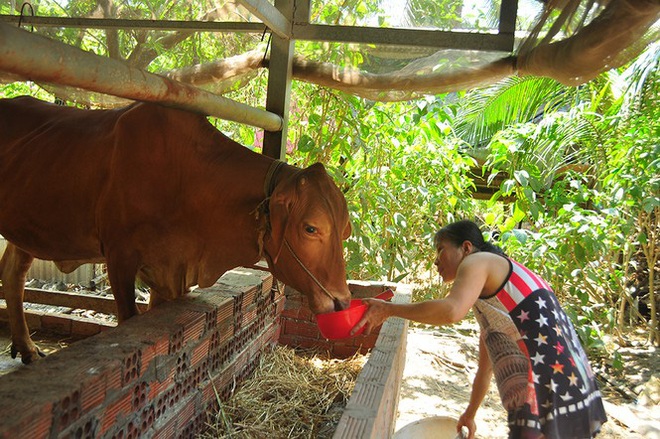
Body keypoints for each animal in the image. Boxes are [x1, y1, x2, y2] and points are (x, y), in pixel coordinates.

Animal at [0, 96, 354, 364]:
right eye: (311, 228)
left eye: (346, 230)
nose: (342, 301)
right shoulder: (120, 257)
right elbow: (128, 317)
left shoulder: (172, 269)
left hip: (26, 230)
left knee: (13, 274)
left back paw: (27, 349)